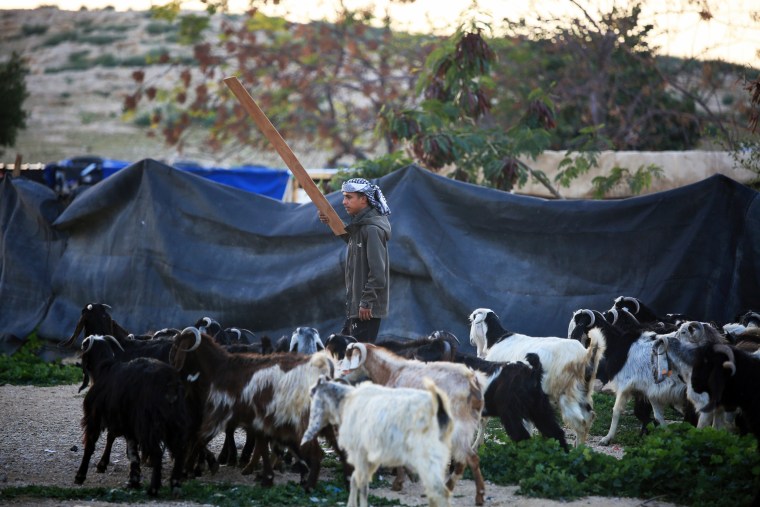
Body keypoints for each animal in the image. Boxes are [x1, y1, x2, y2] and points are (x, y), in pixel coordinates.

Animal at [73, 336, 189, 498]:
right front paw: (133, 481)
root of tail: (169, 384)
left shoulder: (94, 418)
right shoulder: (128, 426)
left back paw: (153, 489)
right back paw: (175, 486)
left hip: (147, 425)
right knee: (179, 450)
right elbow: (133, 453)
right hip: (174, 422)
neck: (104, 369)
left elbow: (90, 445)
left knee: (157, 453)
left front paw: (80, 476)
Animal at [302, 376, 454, 507]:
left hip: (427, 456)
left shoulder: (360, 453)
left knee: (439, 492)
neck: (347, 402)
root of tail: (438, 406)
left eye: (312, 393)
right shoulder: (370, 458)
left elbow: (361, 483)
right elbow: (356, 480)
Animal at [340, 344, 484, 506]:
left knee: (471, 458)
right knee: (464, 460)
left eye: (349, 356)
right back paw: (450, 487)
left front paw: (399, 482)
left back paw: (478, 496)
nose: (341, 374)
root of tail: (472, 382)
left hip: (458, 428)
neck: (392, 372)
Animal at [466, 308, 604, 446]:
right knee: (588, 418)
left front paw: (477, 444)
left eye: (472, 321)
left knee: (581, 422)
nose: (471, 340)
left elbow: (483, 420)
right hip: (583, 392)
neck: (497, 340)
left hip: (567, 394)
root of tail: (585, 355)